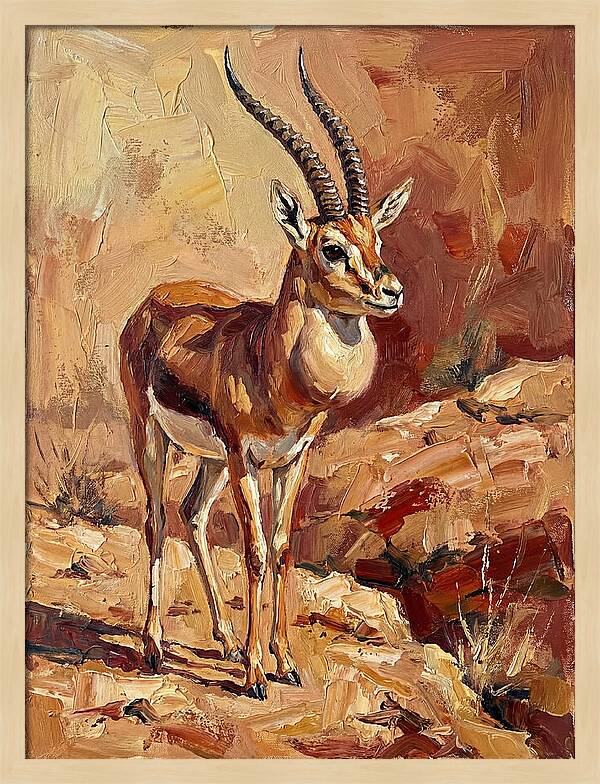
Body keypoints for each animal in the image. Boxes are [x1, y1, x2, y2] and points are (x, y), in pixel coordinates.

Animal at [119, 46, 413, 700]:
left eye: (376, 238)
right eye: (332, 247)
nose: (390, 291)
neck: (272, 370)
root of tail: (151, 299)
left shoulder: (292, 458)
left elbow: (279, 549)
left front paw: (285, 661)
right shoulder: (246, 458)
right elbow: (253, 551)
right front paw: (256, 674)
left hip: (208, 460)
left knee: (193, 516)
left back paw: (225, 641)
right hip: (153, 436)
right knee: (156, 519)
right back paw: (156, 649)